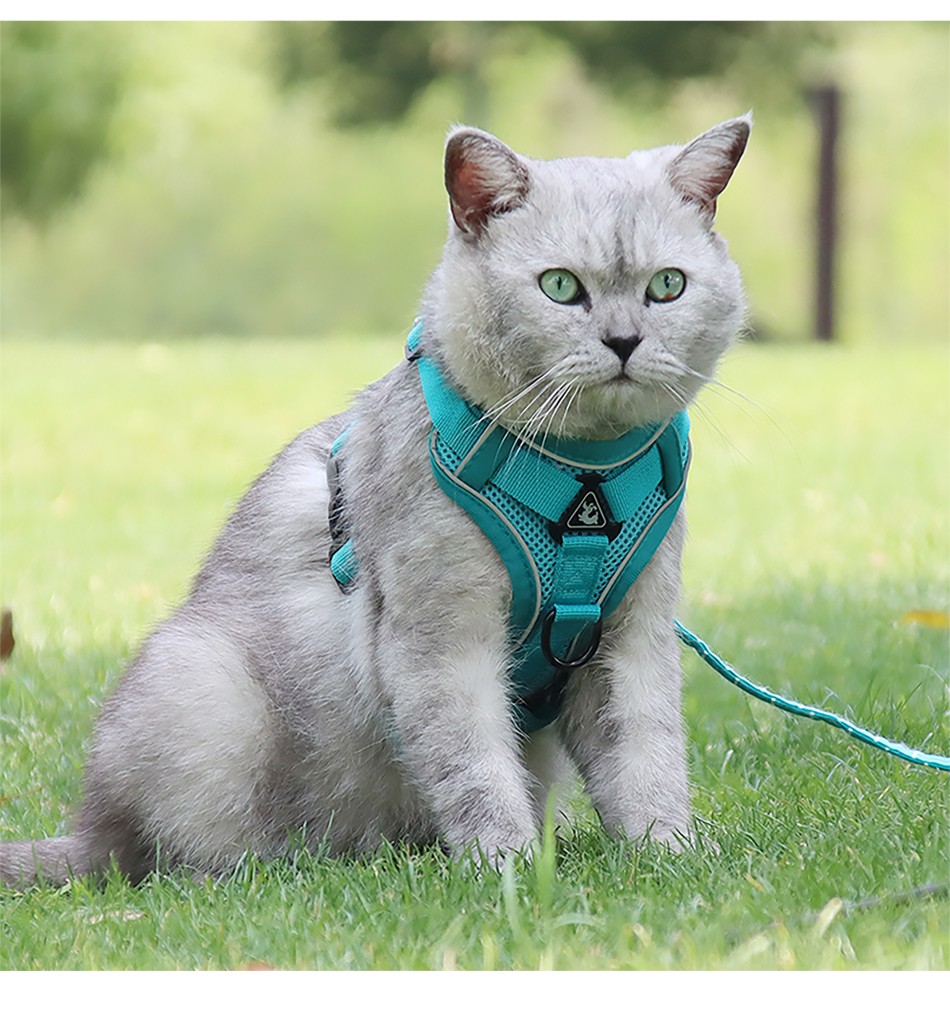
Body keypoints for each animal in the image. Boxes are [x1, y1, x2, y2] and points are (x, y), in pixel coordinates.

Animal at [0, 115, 750, 886]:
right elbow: (475, 769)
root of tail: (89, 830)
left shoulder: (633, 639)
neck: (585, 480)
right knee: (174, 858)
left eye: (667, 285)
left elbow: (646, 761)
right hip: (204, 686)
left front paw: (668, 854)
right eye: (561, 286)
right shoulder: (443, 642)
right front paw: (506, 869)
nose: (625, 340)